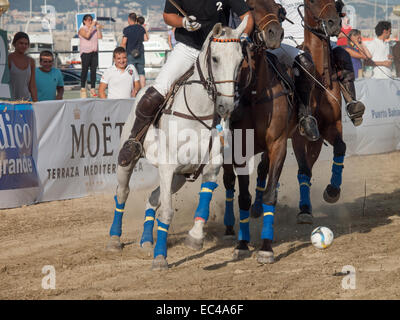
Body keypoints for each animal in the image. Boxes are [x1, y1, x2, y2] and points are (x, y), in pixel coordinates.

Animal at [222, 0, 296, 264]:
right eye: (252, 6)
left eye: (277, 8)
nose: (274, 33)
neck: (256, 93)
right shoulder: (239, 150)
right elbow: (241, 195)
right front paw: (242, 243)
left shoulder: (278, 144)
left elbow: (270, 194)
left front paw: (266, 247)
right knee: (228, 183)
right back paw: (228, 226)